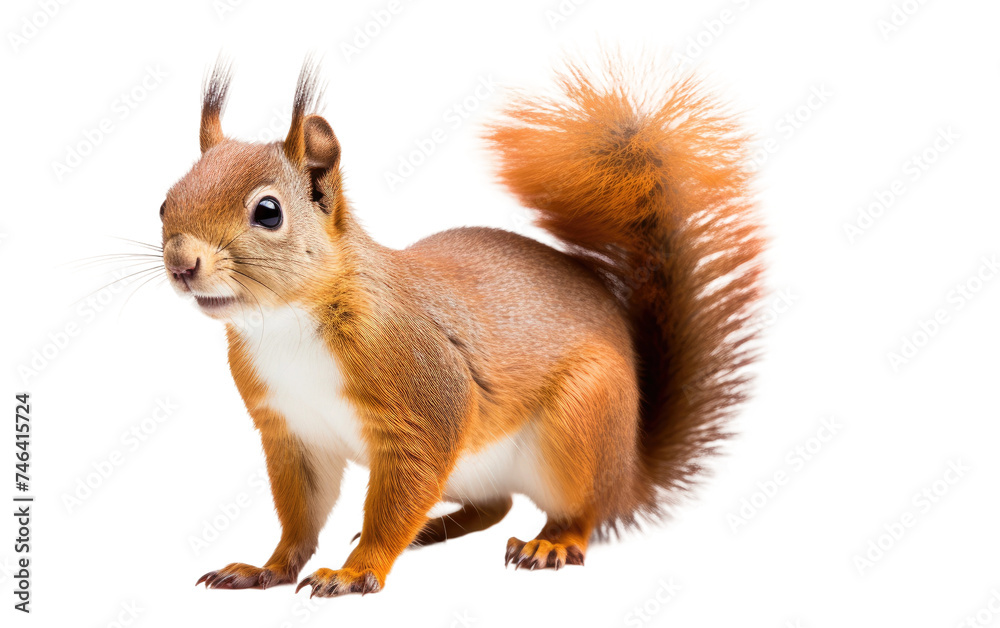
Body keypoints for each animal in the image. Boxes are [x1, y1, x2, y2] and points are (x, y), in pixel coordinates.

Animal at [162, 54, 763, 597]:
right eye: (165, 202)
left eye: (268, 212)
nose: (181, 265)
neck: (284, 324)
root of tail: (630, 471)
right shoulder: (292, 431)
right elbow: (300, 517)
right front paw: (265, 568)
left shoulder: (423, 404)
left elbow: (399, 495)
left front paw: (355, 572)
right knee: (494, 505)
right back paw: (434, 530)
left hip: (580, 424)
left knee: (583, 511)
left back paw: (551, 542)